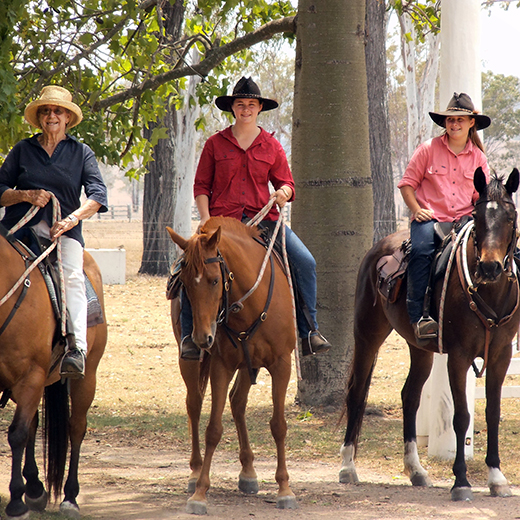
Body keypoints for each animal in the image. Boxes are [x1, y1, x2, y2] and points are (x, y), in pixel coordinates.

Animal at [0, 235, 107, 516]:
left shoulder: (31, 376)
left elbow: (16, 434)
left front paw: (15, 503)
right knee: (33, 424)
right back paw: (35, 487)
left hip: (86, 379)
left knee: (76, 428)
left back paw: (70, 496)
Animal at [167, 216, 296, 516]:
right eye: (185, 284)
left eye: (215, 280)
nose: (202, 338)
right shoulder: (221, 366)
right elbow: (213, 429)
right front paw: (200, 493)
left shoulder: (281, 364)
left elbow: (278, 425)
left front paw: (284, 489)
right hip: (189, 361)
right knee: (194, 405)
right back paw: (194, 472)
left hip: (250, 365)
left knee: (237, 402)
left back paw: (248, 471)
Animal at [340, 169, 520, 502]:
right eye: (478, 216)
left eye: (511, 217)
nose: (490, 267)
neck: (489, 292)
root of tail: (378, 247)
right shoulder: (459, 356)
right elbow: (461, 416)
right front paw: (461, 481)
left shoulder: (501, 355)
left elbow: (492, 412)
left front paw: (497, 477)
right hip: (367, 334)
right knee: (357, 392)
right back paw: (347, 466)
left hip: (420, 348)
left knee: (409, 397)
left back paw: (416, 470)